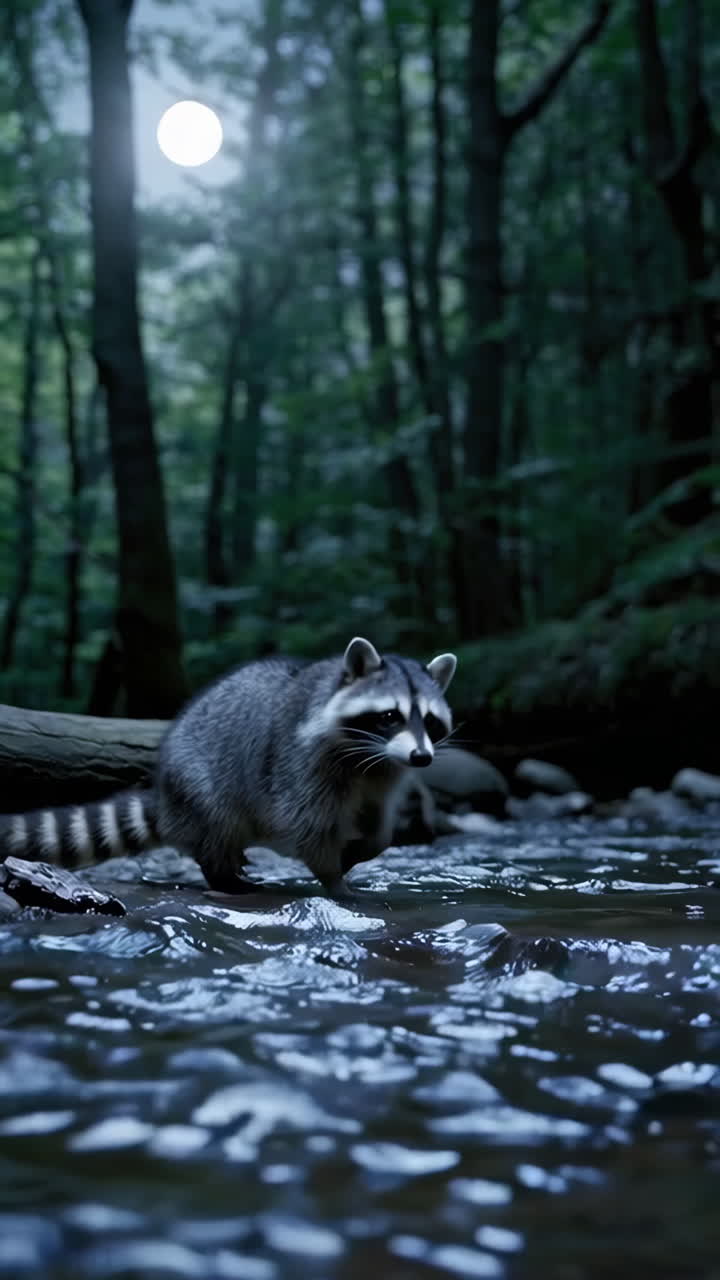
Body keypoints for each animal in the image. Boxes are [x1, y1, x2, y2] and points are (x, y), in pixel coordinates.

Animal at [0, 638, 456, 892]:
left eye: (430, 720)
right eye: (390, 716)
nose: (422, 757)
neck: (370, 754)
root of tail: (166, 794)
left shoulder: (384, 774)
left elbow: (378, 825)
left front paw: (363, 849)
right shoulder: (301, 763)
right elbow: (306, 824)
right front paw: (333, 879)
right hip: (199, 782)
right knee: (217, 824)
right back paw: (223, 876)